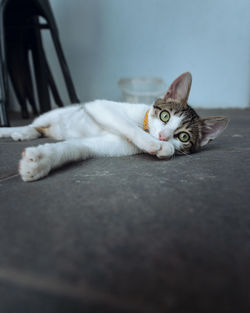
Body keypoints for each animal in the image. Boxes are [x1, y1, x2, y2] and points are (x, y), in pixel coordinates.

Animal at [0, 72, 229, 182]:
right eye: (165, 116)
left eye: (183, 137)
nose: (164, 137)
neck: (145, 125)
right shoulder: (100, 106)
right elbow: (124, 122)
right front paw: (155, 145)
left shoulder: (109, 145)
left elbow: (79, 147)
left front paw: (41, 161)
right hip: (53, 113)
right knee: (35, 123)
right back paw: (15, 130)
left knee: (39, 129)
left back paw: (26, 133)